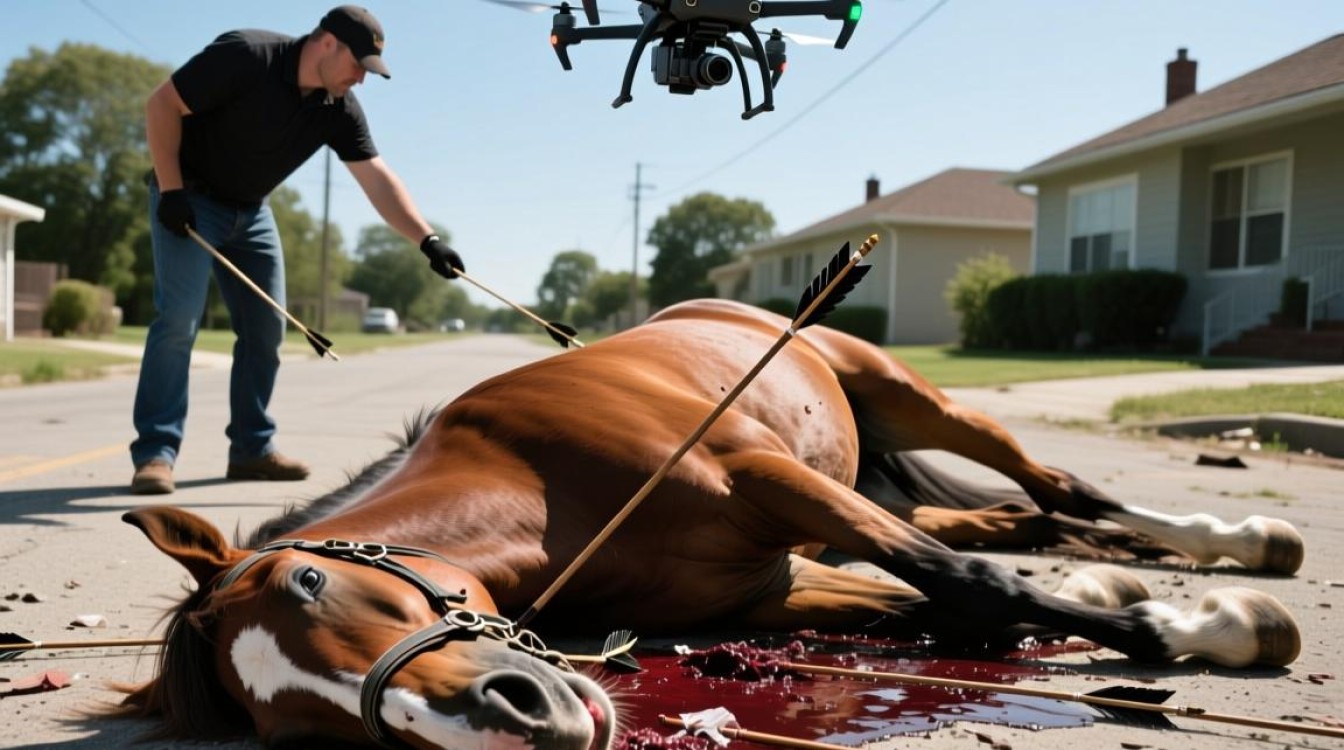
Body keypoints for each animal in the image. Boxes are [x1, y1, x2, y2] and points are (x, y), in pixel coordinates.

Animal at [115, 298, 1304, 750]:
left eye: (310, 582)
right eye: (297, 732)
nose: (514, 722)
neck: (527, 480)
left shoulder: (770, 479)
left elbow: (968, 590)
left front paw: (1186, 632)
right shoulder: (775, 586)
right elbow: (950, 606)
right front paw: (1126, 610)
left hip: (906, 398)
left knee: (1056, 489)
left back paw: (1240, 545)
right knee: (1015, 517)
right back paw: (1135, 564)